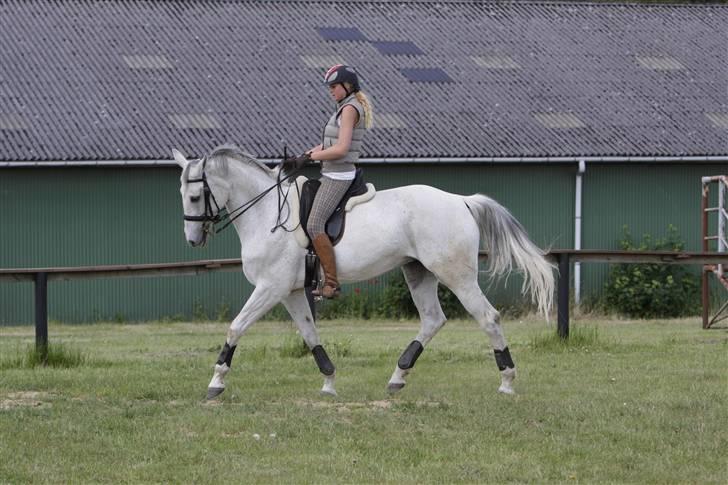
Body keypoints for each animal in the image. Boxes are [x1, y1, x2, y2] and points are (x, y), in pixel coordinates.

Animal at [173, 146, 556, 398]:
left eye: (194, 196)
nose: (192, 239)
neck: (267, 211)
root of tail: (461, 200)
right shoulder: (291, 291)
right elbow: (310, 334)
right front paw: (329, 381)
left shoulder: (270, 287)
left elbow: (236, 326)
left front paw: (216, 382)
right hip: (418, 272)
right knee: (433, 319)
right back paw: (398, 376)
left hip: (456, 276)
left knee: (488, 317)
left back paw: (506, 381)